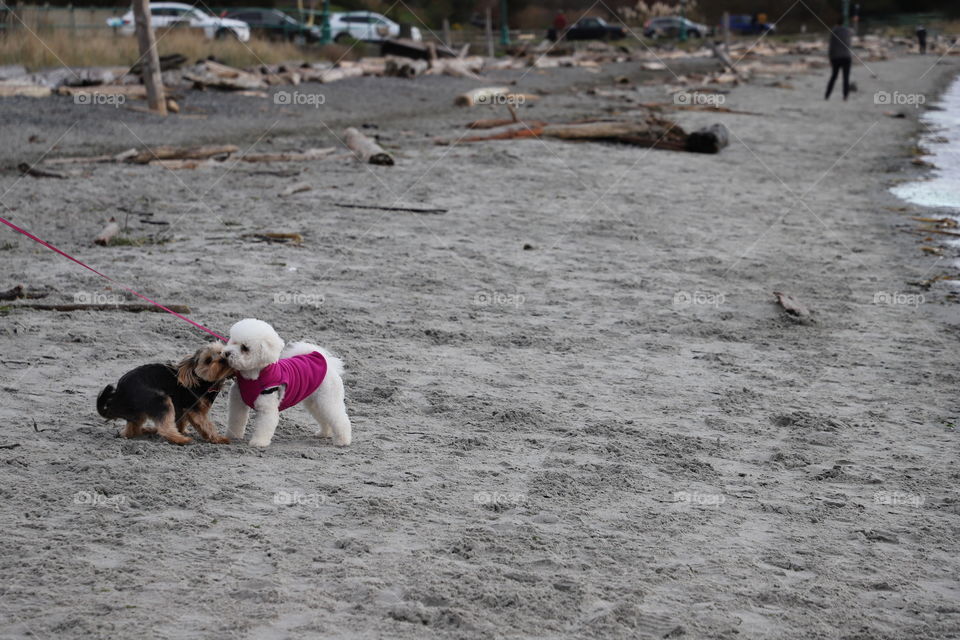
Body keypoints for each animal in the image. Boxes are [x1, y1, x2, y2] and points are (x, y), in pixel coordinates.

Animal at [224, 318, 352, 448]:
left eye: (245, 348)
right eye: (233, 341)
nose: (226, 353)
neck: (254, 378)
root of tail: (326, 363)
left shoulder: (267, 409)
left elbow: (263, 427)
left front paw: (258, 442)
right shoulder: (238, 403)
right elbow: (236, 420)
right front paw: (233, 436)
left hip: (328, 400)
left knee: (340, 419)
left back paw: (343, 441)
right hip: (314, 402)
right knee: (323, 417)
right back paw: (324, 433)